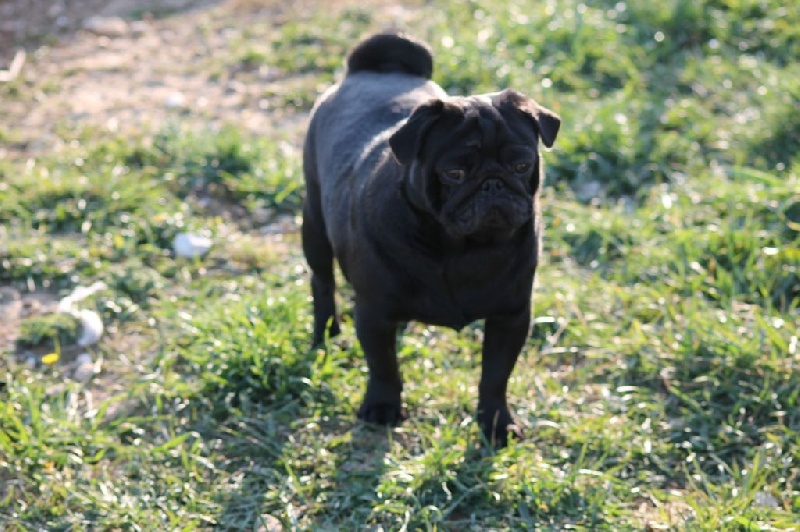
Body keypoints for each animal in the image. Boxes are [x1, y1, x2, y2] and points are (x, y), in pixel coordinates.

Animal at [304, 32, 560, 444]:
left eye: (522, 166)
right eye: (454, 173)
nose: (493, 183)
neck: (461, 248)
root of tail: (376, 69)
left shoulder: (510, 316)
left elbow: (495, 376)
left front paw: (496, 422)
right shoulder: (373, 313)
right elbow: (383, 366)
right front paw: (382, 406)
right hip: (313, 224)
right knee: (322, 281)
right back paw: (326, 332)